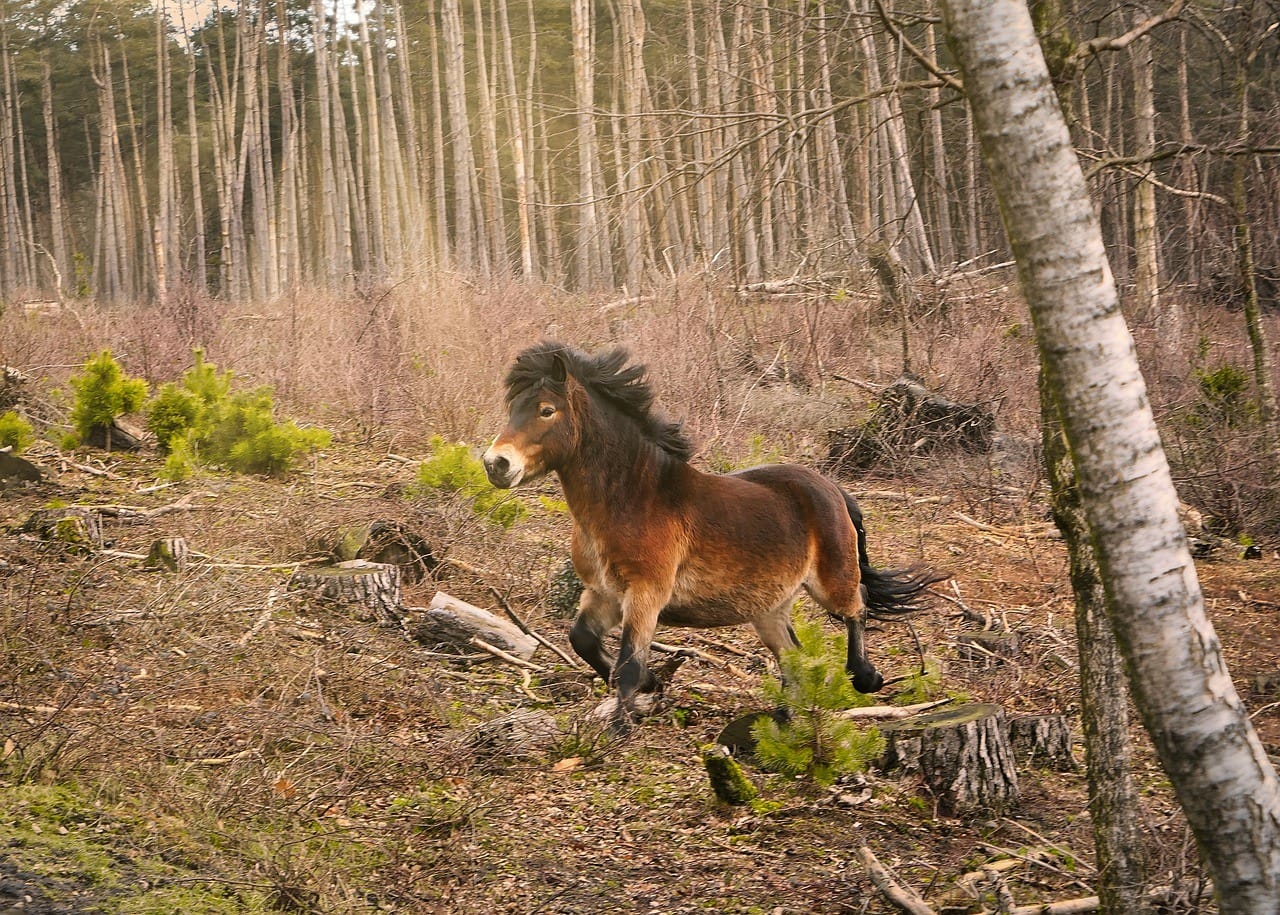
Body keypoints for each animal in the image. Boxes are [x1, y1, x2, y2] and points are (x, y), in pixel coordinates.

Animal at [482, 341, 942, 720]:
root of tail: (833, 489)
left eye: (546, 409)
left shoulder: (646, 594)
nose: (495, 464)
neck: (633, 496)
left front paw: (619, 730)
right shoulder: (605, 593)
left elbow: (628, 667)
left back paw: (865, 677)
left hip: (830, 582)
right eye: (513, 407)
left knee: (857, 607)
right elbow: (583, 641)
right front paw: (652, 685)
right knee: (792, 655)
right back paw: (786, 716)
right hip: (768, 608)